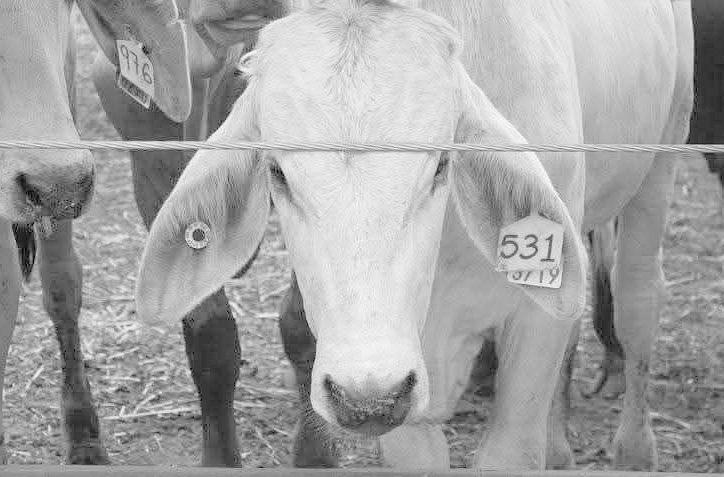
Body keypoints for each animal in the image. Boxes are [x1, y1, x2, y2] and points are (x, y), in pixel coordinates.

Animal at [136, 0, 693, 471]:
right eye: (277, 171)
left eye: (442, 162)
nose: (366, 396)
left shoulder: (534, 323)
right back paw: (559, 447)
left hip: (662, 157)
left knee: (638, 298)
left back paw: (635, 449)